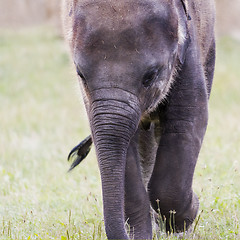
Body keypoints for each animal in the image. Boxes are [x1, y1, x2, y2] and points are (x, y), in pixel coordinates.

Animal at [62, 0, 216, 238]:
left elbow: (188, 121)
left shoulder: (190, 50)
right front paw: (142, 233)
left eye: (150, 76)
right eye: (80, 74)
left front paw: (186, 219)